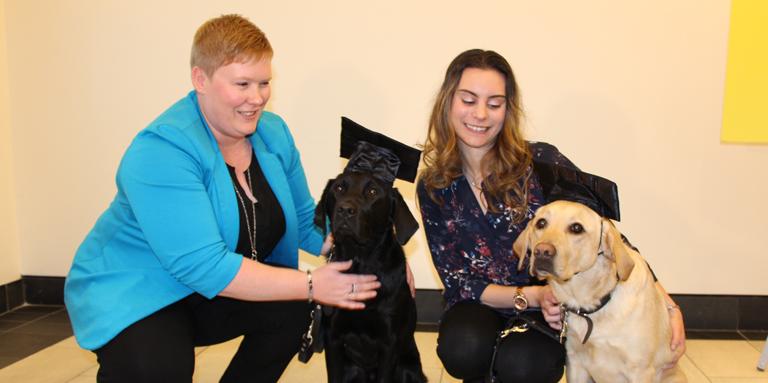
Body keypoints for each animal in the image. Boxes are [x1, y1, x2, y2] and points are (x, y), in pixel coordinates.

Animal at [316, 148, 428, 382]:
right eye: (339, 188)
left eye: (373, 192)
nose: (345, 210)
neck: (360, 264)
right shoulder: (333, 337)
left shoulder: (389, 343)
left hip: (407, 369)